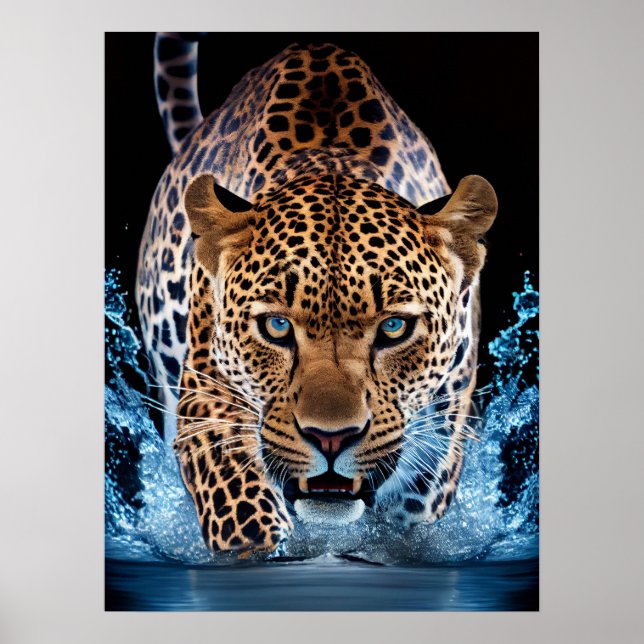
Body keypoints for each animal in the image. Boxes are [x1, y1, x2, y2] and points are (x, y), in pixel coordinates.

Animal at [136, 33, 498, 557]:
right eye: (276, 326)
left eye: (394, 327)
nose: (331, 439)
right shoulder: (207, 389)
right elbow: (239, 506)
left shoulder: (439, 442)